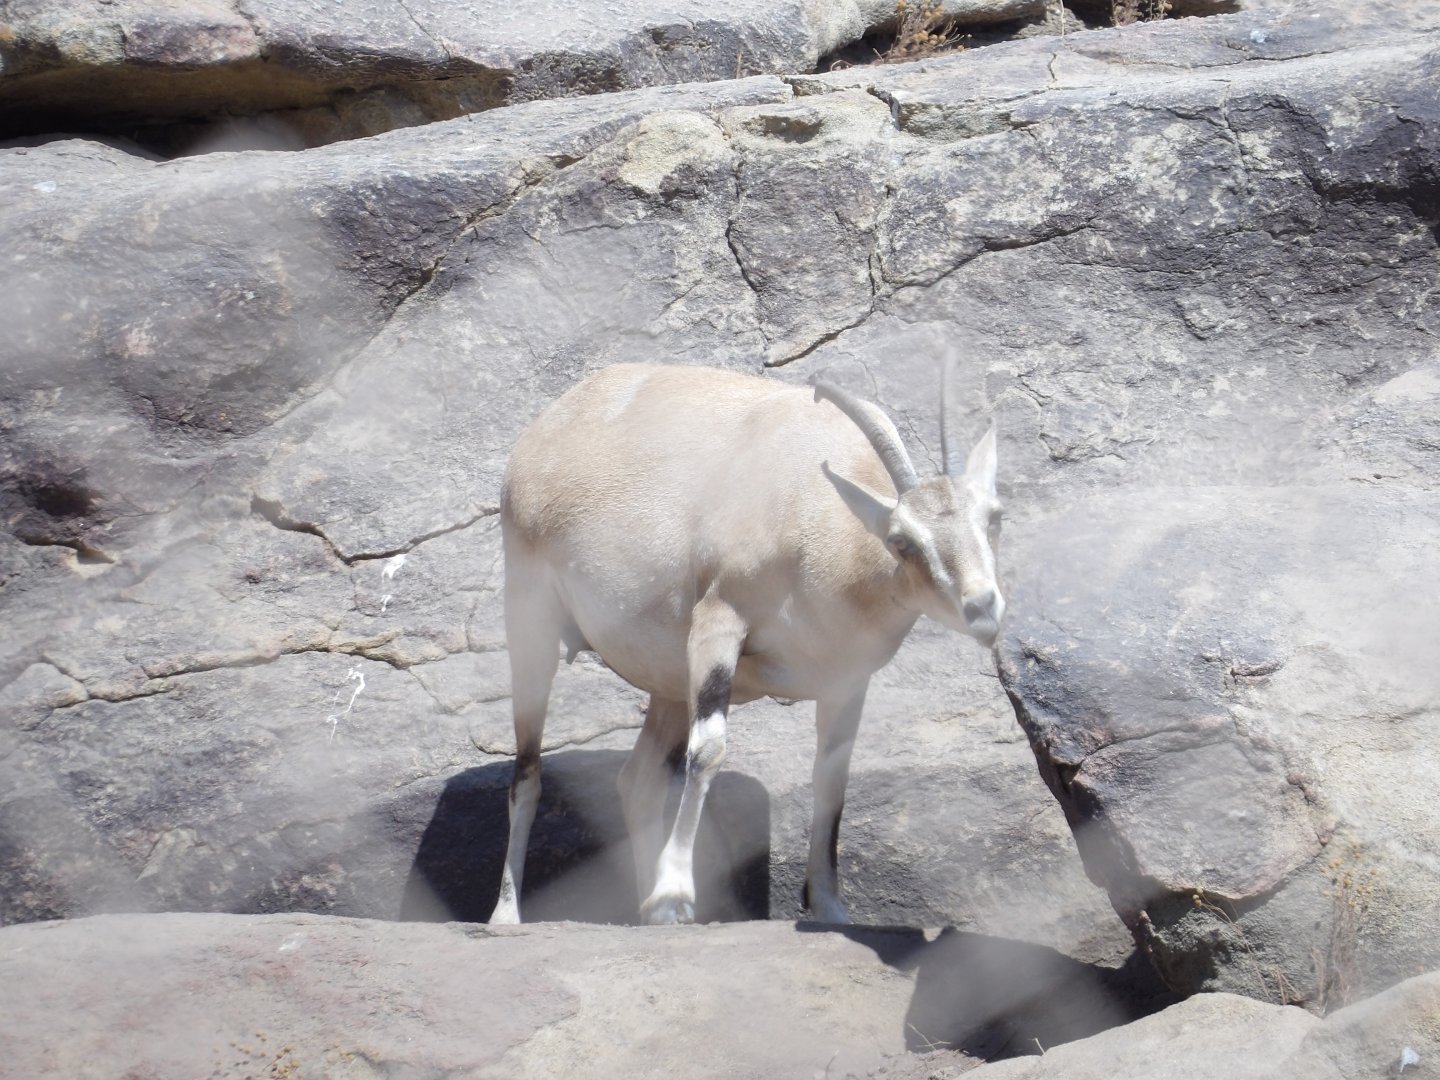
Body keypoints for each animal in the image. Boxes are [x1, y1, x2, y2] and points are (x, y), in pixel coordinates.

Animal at [490, 363, 1003, 925]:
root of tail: (541, 435)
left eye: (993, 518)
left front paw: (829, 907)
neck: (817, 516)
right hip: (531, 626)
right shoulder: (718, 624)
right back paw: (508, 915)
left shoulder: (847, 682)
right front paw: (676, 892)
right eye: (901, 540)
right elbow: (709, 750)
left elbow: (833, 776)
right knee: (528, 774)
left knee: (638, 781)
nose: (983, 608)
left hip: (670, 686)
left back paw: (650, 914)